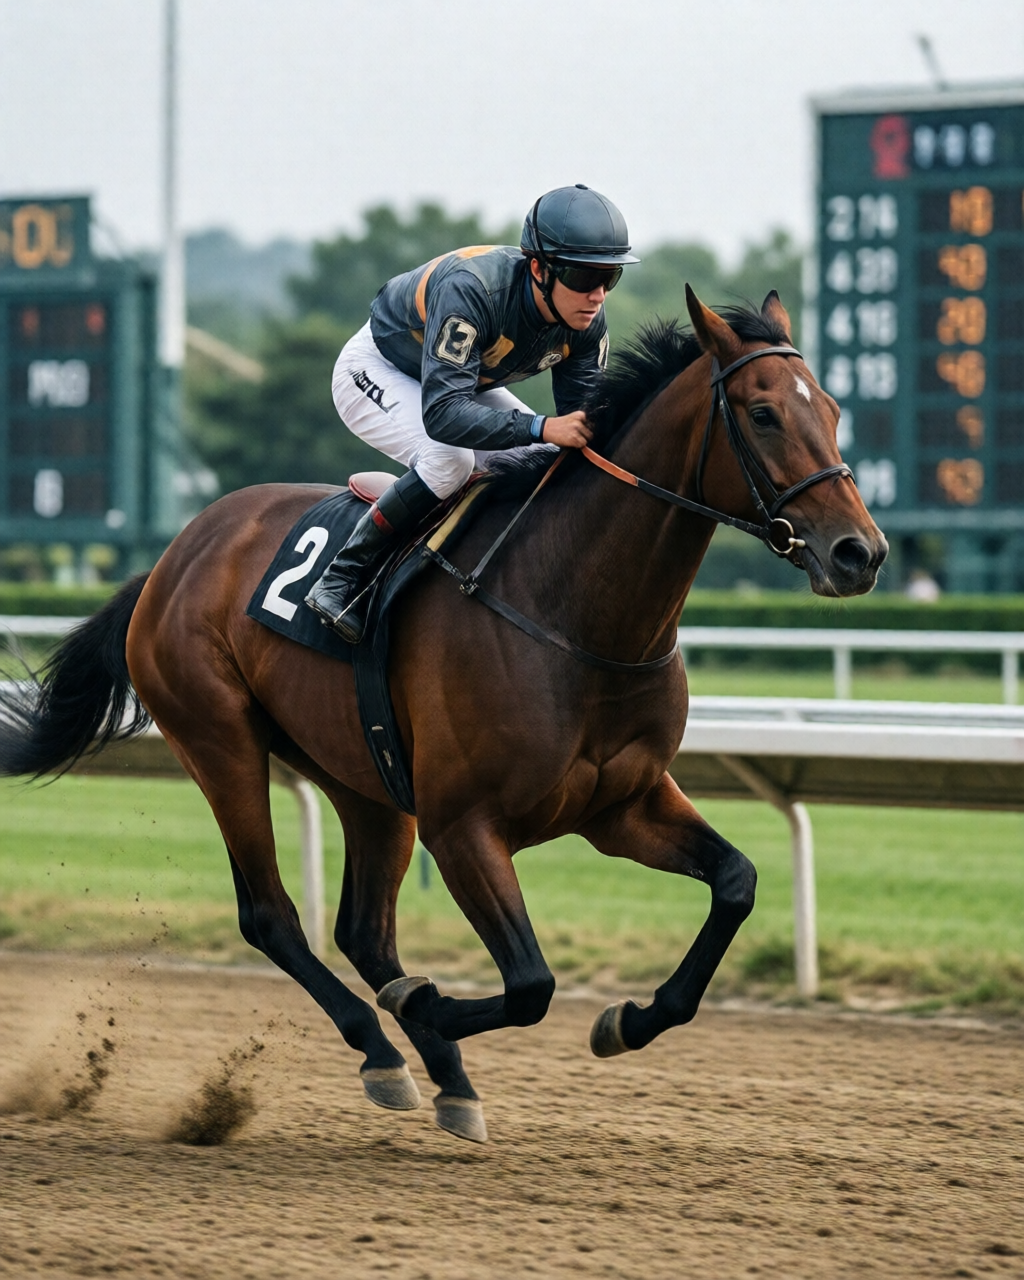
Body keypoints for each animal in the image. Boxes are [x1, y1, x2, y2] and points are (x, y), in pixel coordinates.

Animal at [0, 287, 886, 1143]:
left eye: (833, 408)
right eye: (764, 413)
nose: (860, 553)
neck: (574, 612)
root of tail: (170, 559)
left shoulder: (622, 805)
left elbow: (735, 883)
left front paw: (627, 1020)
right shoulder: (463, 826)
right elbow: (530, 983)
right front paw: (425, 1005)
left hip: (364, 775)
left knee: (363, 929)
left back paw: (444, 1075)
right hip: (220, 742)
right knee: (272, 916)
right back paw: (383, 1045)